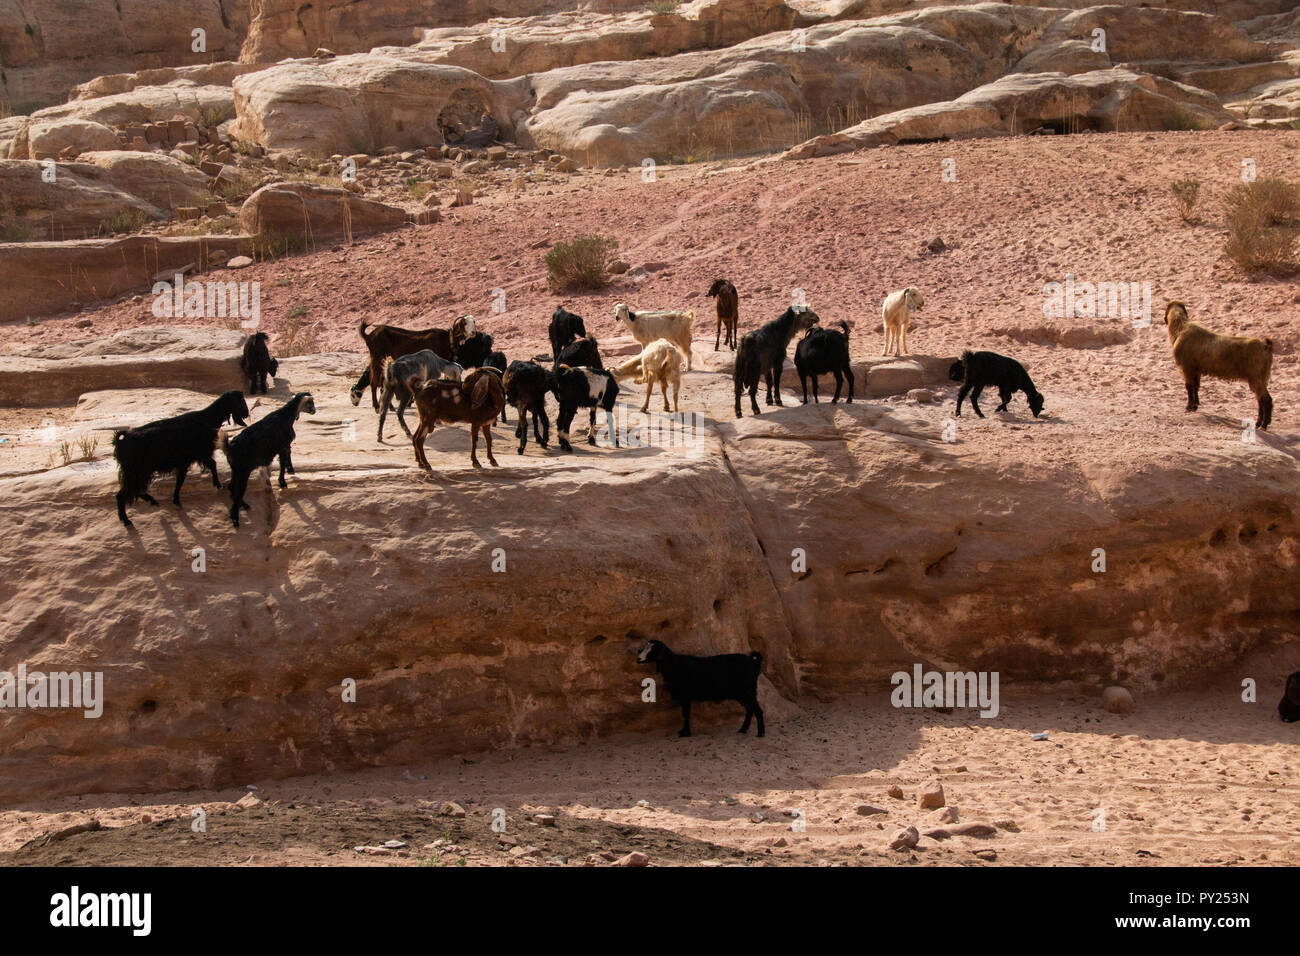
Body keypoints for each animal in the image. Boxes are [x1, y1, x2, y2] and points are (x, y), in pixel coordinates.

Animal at [112, 390, 249, 527]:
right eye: (240, 400)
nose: (246, 414)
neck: (206, 419)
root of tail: (121, 441)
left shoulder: (190, 459)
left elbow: (183, 479)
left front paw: (176, 500)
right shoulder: (199, 454)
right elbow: (210, 465)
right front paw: (218, 484)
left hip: (137, 472)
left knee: (133, 491)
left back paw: (151, 502)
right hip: (136, 471)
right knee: (123, 494)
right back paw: (127, 519)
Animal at [221, 392, 315, 528]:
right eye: (310, 402)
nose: (314, 410)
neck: (285, 415)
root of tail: (230, 447)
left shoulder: (285, 445)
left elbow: (288, 457)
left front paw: (290, 470)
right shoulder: (283, 446)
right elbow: (282, 463)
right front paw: (283, 482)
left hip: (235, 469)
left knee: (232, 487)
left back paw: (244, 506)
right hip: (243, 470)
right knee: (238, 489)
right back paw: (235, 519)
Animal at [636, 640, 764, 738]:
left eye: (652, 650)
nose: (638, 659)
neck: (673, 665)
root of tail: (754, 664)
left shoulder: (685, 695)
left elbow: (686, 714)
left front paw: (685, 733)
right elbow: (685, 713)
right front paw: (684, 731)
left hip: (748, 691)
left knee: (757, 710)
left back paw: (760, 733)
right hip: (742, 693)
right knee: (750, 709)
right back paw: (743, 729)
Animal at [1164, 300, 1273, 429]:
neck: (1181, 329)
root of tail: (1265, 345)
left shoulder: (1187, 368)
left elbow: (1189, 387)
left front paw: (1189, 407)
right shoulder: (1196, 370)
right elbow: (1196, 387)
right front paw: (1195, 406)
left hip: (1257, 378)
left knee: (1266, 400)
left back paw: (1264, 424)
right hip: (1261, 378)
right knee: (1260, 400)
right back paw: (1258, 423)